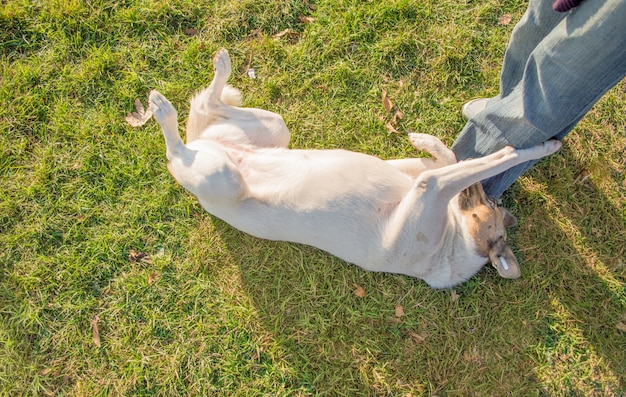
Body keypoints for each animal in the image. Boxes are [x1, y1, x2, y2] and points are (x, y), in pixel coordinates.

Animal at [149, 48, 560, 288]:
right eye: (490, 205)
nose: (487, 194)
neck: (452, 241)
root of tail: (207, 146)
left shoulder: (427, 184)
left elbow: (495, 158)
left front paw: (533, 147)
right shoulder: (420, 175)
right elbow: (458, 159)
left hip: (223, 174)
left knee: (176, 149)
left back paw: (163, 110)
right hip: (271, 129)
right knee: (207, 108)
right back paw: (206, 79)